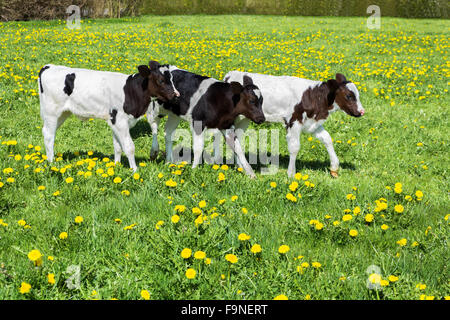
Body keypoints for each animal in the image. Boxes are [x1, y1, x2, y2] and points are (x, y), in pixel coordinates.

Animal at [38, 59, 179, 170]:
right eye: (161, 80)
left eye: (172, 79)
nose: (176, 95)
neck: (130, 90)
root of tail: (48, 67)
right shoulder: (119, 120)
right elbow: (129, 147)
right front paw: (135, 171)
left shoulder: (115, 121)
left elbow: (118, 146)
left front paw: (116, 166)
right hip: (51, 112)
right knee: (49, 135)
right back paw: (51, 163)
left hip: (63, 113)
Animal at [224, 71, 366, 178]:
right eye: (349, 96)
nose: (362, 111)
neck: (313, 97)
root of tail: (231, 74)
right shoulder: (293, 121)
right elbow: (294, 147)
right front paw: (291, 173)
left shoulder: (311, 123)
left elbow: (327, 138)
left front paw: (334, 167)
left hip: (244, 119)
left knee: (237, 138)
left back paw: (240, 167)